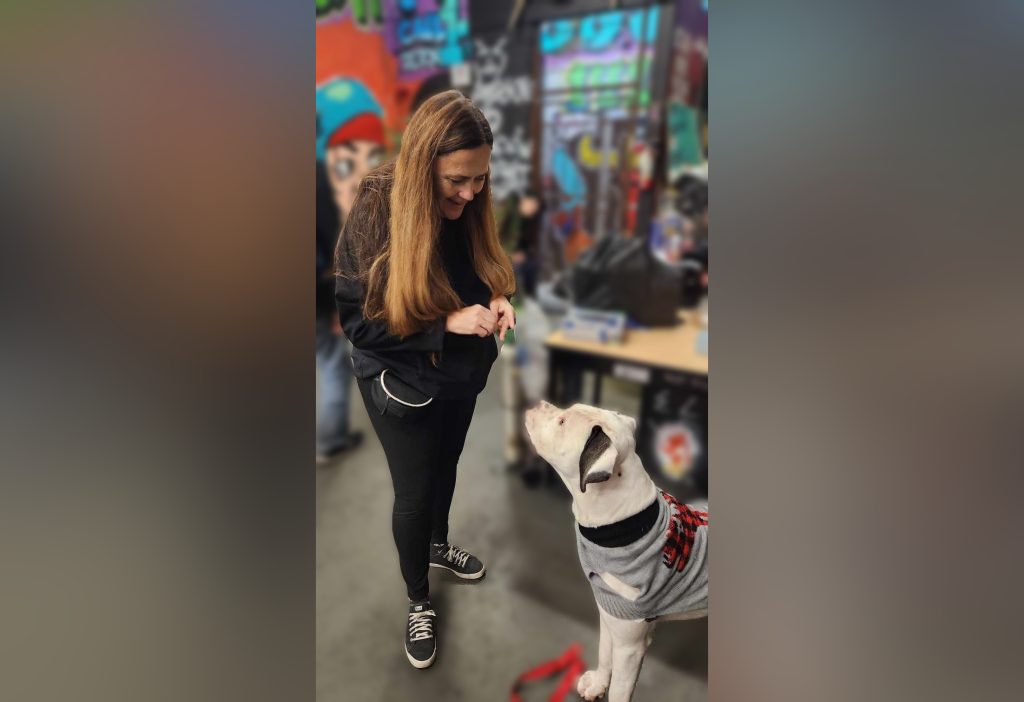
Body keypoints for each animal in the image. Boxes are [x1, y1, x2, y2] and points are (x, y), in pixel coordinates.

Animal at [524, 401, 708, 702]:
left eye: (562, 421)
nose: (538, 403)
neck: (622, 524)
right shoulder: (609, 615)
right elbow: (604, 653)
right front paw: (598, 683)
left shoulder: (631, 646)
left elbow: (620, 690)